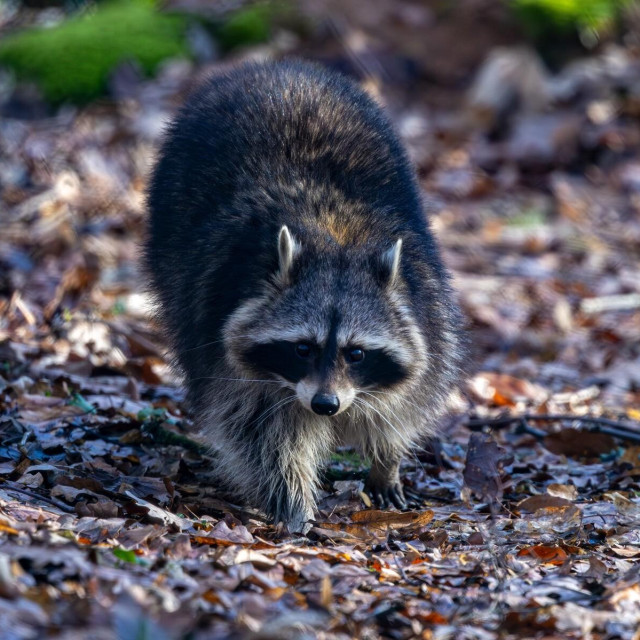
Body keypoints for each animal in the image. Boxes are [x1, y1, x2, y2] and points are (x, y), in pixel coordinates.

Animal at [146, 60, 464, 532]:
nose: (325, 405)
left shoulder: (426, 304)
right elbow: (261, 431)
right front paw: (293, 500)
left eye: (356, 353)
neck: (336, 241)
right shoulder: (225, 335)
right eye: (301, 348)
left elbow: (405, 402)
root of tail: (272, 68)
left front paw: (386, 459)